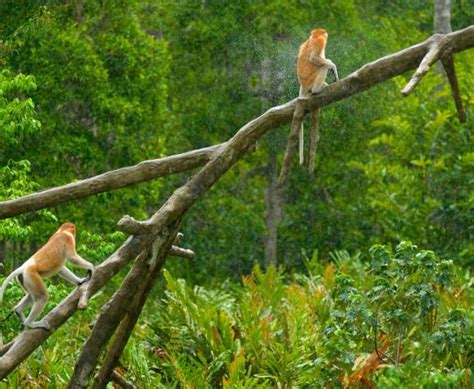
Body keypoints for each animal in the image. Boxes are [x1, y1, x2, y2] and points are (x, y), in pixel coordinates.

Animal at [296, 28, 336, 170]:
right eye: (324, 34)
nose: (326, 34)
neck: (312, 37)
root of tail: (303, 85)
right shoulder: (320, 41)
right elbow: (314, 58)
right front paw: (333, 66)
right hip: (311, 81)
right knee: (322, 66)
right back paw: (318, 89)